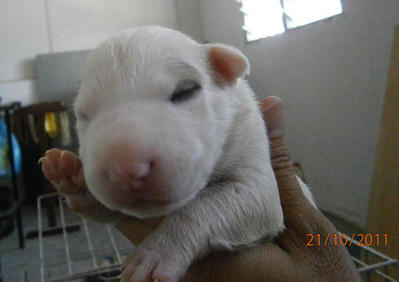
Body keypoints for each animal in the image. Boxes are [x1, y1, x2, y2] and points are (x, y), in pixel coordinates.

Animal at [48, 26, 316, 282]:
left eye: (185, 91)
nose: (125, 169)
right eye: (83, 114)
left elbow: (211, 203)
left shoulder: (252, 158)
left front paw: (156, 252)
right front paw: (72, 178)